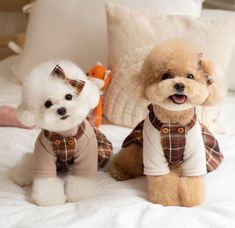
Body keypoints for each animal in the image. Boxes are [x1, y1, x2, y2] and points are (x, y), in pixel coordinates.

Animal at [11, 59, 112, 206]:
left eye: (68, 96)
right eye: (47, 104)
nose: (62, 110)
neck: (65, 134)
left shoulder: (88, 152)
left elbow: (81, 177)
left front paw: (75, 195)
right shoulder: (43, 153)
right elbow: (46, 180)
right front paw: (51, 199)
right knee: (30, 160)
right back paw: (22, 174)